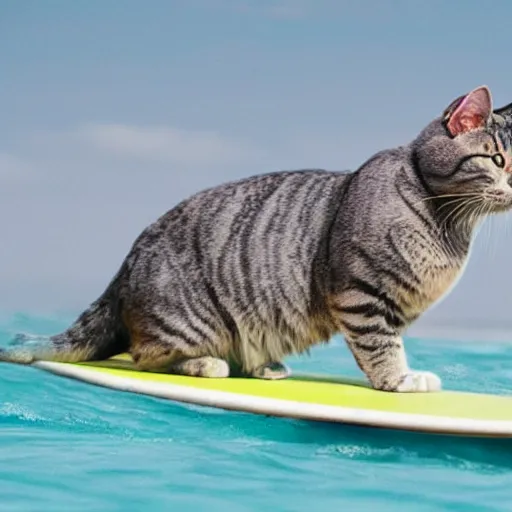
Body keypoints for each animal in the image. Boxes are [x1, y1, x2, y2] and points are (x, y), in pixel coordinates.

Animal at [3, 87, 512, 392]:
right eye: (497, 160)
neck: (450, 223)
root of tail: (125, 264)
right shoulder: (360, 294)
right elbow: (380, 347)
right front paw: (399, 379)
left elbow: (388, 342)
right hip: (193, 319)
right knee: (144, 354)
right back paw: (207, 364)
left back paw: (263, 366)